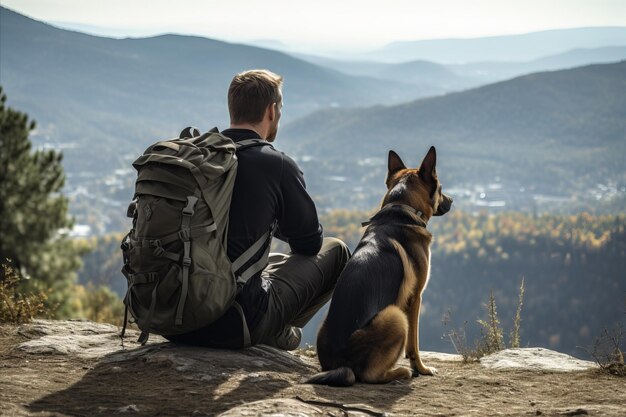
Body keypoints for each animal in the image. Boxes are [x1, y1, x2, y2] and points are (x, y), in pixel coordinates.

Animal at [308, 147, 450, 386]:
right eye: (441, 188)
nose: (452, 200)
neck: (402, 207)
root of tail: (340, 363)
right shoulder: (416, 298)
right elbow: (414, 345)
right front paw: (421, 368)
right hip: (395, 315)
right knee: (369, 375)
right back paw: (401, 372)